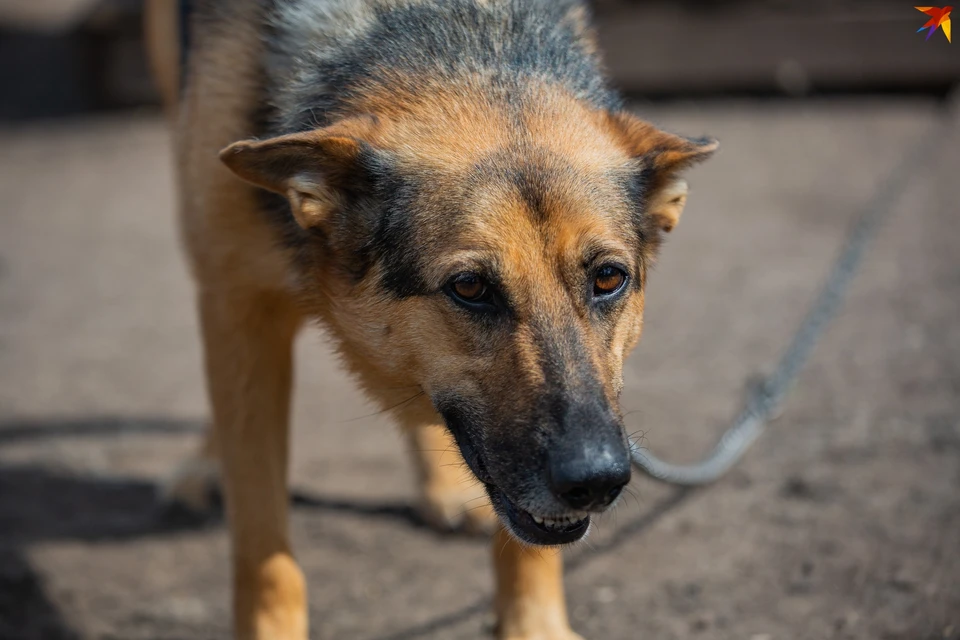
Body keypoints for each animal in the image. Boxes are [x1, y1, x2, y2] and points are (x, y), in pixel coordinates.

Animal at [142, 1, 712, 636]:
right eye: (470, 287)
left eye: (609, 279)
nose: (595, 480)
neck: (458, 40)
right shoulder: (241, 301)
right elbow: (265, 553)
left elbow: (527, 545)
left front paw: (532, 623)